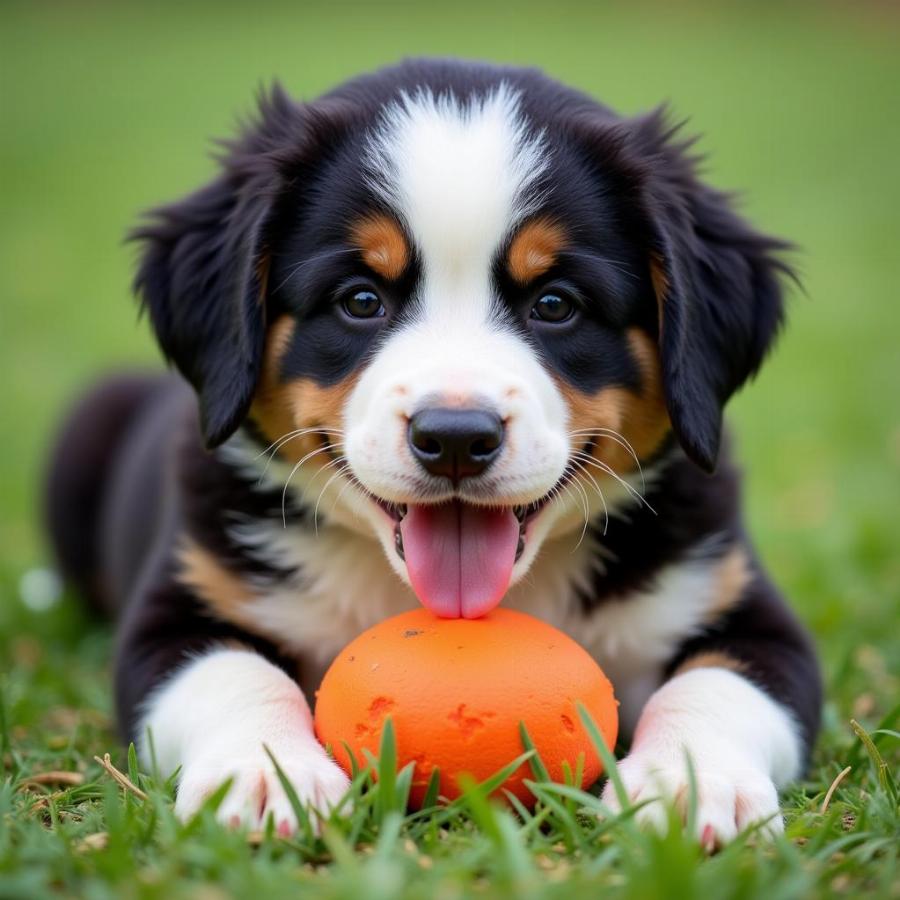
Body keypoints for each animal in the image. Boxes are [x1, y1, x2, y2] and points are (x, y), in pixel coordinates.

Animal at [44, 58, 824, 844]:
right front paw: (268, 777)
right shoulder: (180, 606)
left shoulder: (741, 606)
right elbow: (234, 673)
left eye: (555, 304)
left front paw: (692, 784)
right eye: (360, 300)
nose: (455, 438)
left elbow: (715, 684)